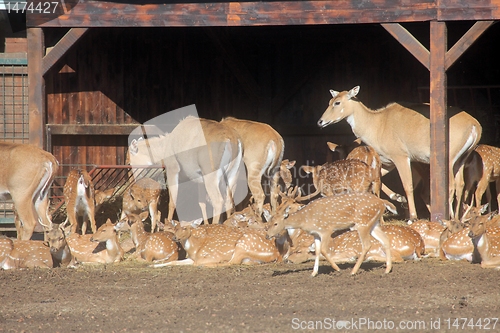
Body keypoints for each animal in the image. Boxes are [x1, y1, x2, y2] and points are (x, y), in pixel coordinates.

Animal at [264, 191, 396, 276]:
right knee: (385, 239)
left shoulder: (326, 230)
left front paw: (337, 269)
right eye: (268, 222)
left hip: (362, 223)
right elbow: (317, 251)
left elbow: (323, 250)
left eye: (275, 223)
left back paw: (353, 271)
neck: (306, 220)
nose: (267, 235)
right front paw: (313, 273)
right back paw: (387, 270)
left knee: (367, 245)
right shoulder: (316, 234)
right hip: (373, 223)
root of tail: (382, 202)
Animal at [318, 85, 482, 220]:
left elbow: (407, 185)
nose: (320, 122)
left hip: (448, 159)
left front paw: (412, 217)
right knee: (460, 185)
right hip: (461, 160)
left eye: (337, 102)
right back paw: (458, 218)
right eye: (329, 101)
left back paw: (448, 217)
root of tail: (474, 125)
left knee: (451, 186)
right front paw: (397, 198)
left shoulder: (401, 157)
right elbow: (377, 179)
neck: (377, 123)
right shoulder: (388, 162)